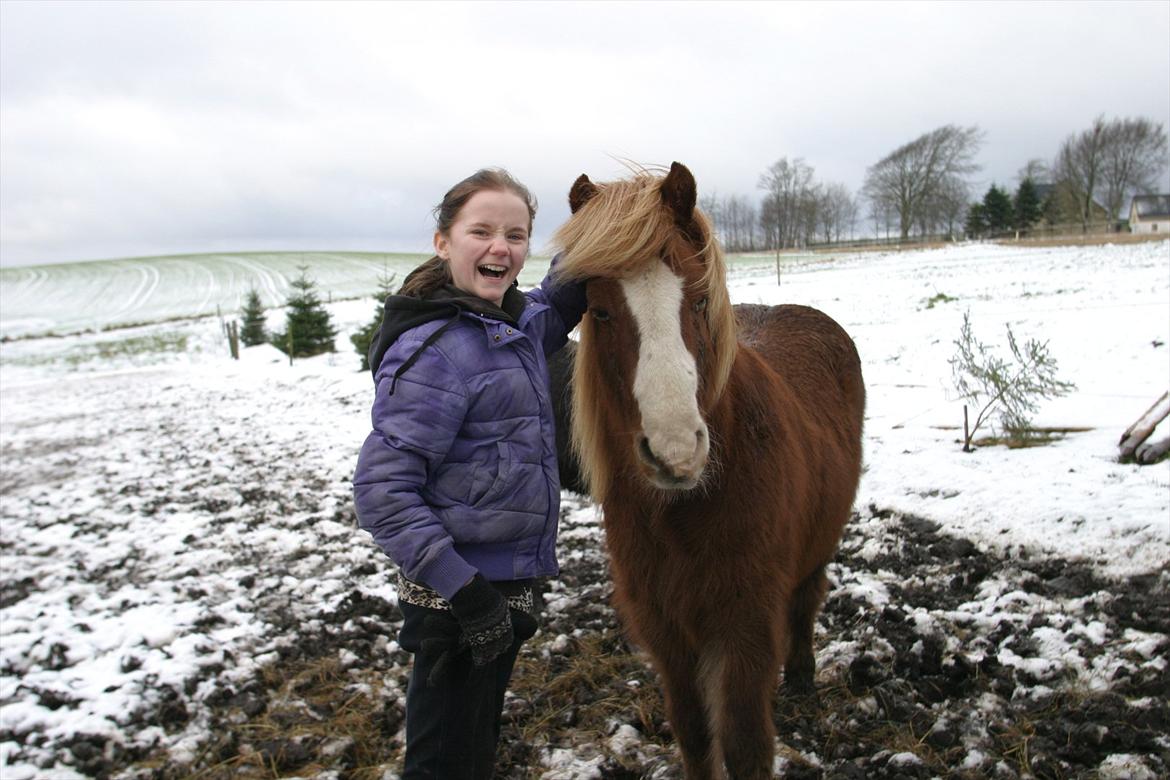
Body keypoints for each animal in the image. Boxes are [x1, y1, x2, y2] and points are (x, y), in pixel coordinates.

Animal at [552, 161, 865, 776]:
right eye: (599, 311)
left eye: (698, 301)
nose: (676, 450)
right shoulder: (667, 633)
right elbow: (695, 733)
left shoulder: (745, 627)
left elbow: (744, 745)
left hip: (818, 547)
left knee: (807, 600)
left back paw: (802, 677)